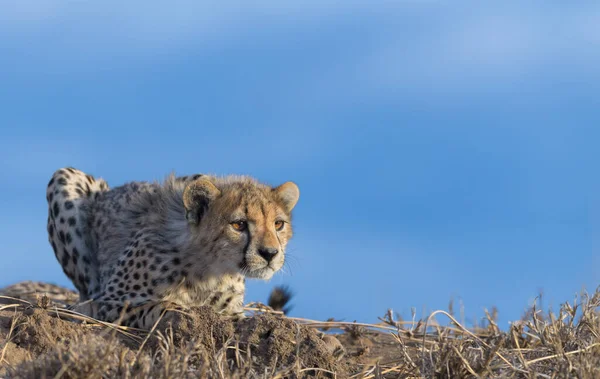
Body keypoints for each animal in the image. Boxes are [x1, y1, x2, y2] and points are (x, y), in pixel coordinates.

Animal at [45, 168, 298, 330]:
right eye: (239, 224)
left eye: (278, 224)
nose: (270, 254)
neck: (211, 269)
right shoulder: (112, 301)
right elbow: (161, 306)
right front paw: (185, 313)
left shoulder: (233, 311)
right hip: (64, 176)